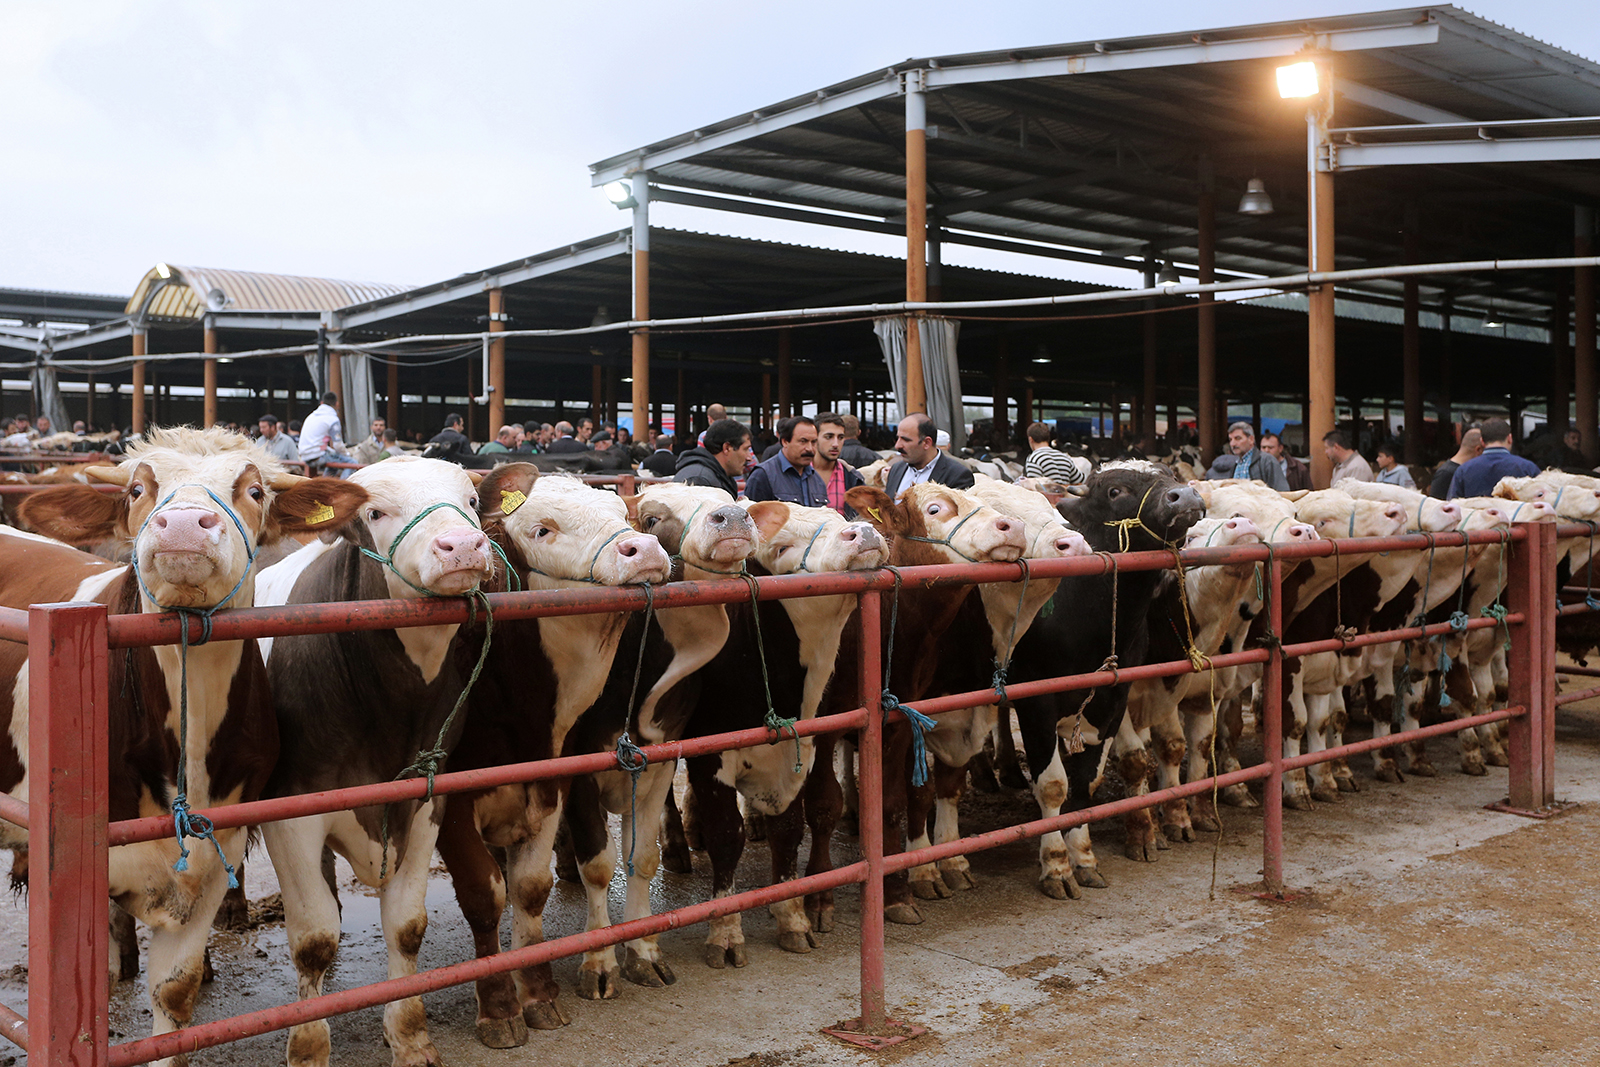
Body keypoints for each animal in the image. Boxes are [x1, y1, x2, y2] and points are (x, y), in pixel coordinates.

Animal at [254, 457, 499, 1067]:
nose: (462, 545)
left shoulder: (426, 799)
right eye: (374, 512)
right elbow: (312, 939)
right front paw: (308, 1046)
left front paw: (409, 1035)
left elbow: (407, 926)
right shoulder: (290, 811)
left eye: (471, 500)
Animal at [428, 470, 672, 1049]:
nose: (645, 549)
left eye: (624, 515)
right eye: (541, 529)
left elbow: (530, 889)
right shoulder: (451, 802)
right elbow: (483, 895)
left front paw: (537, 991)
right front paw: (498, 1006)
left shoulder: (551, 780)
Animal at [985, 460, 1203, 902]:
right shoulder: (1036, 702)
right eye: (1116, 491)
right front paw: (1056, 866)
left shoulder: (1113, 699)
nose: (1185, 496)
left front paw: (1083, 857)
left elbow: (1086, 783)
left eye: (1170, 475)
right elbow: (1053, 785)